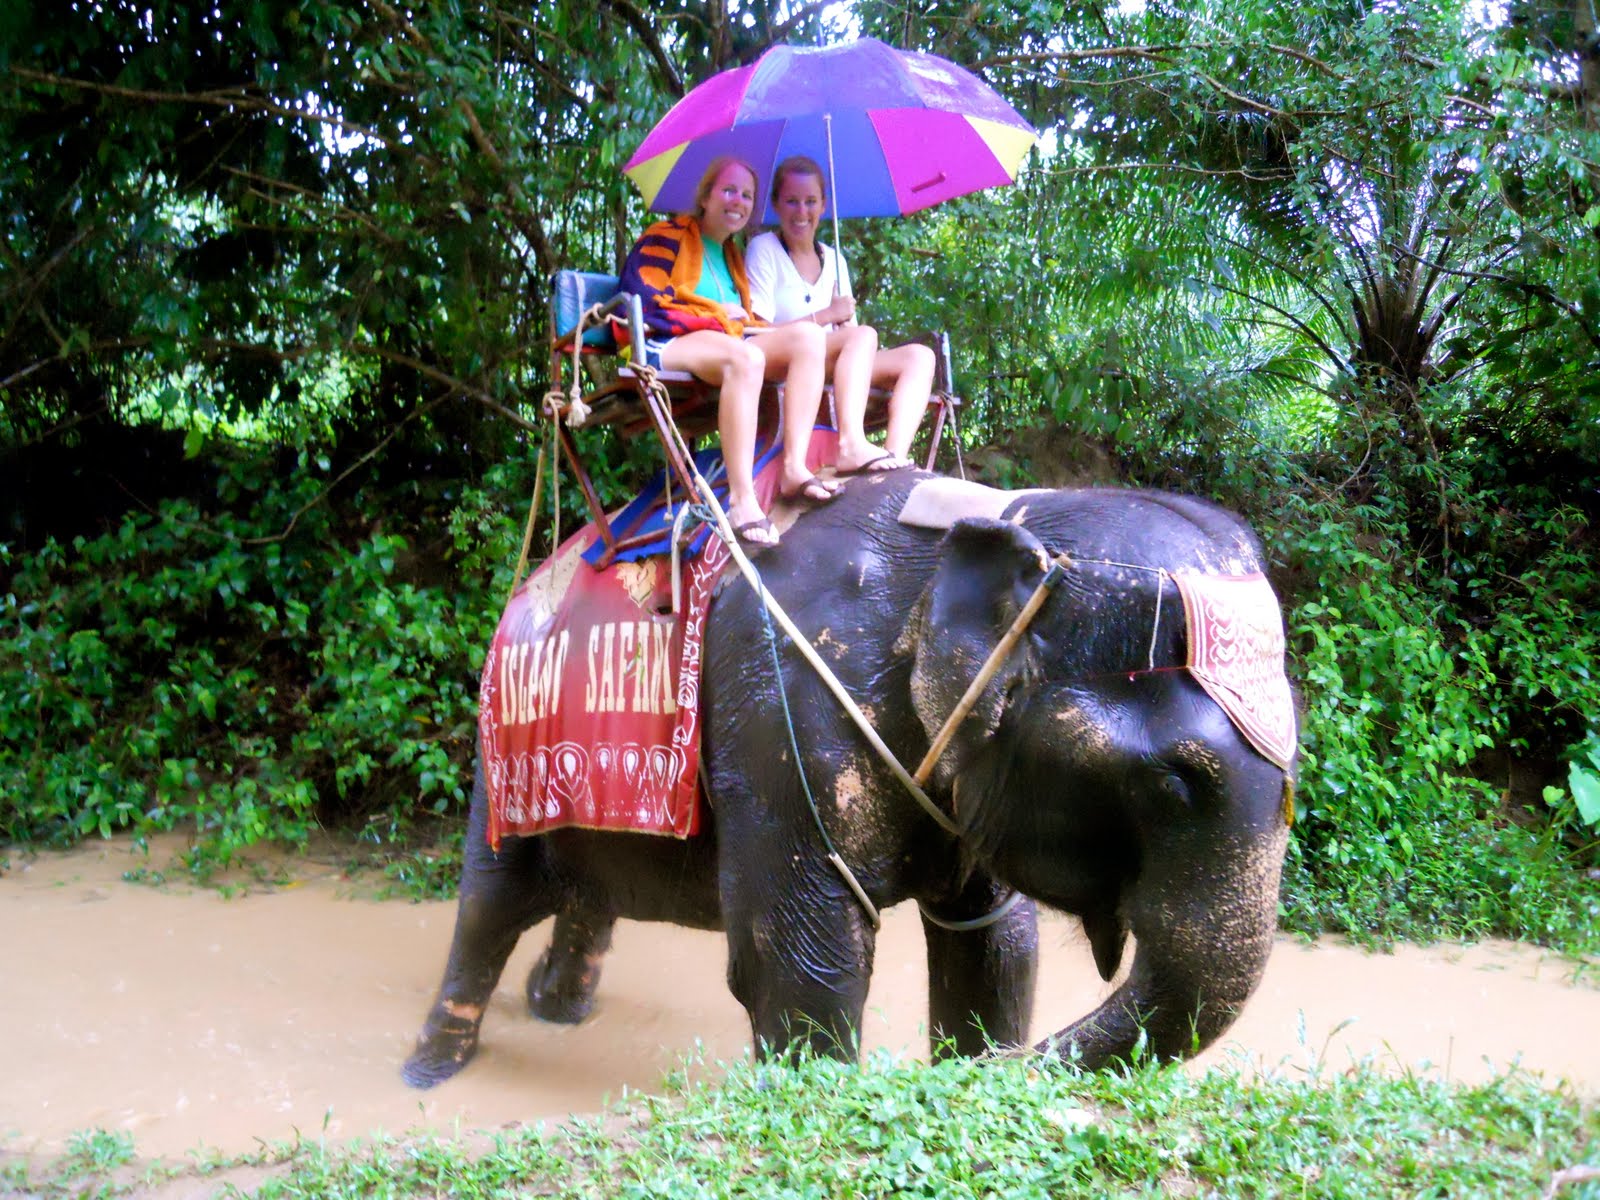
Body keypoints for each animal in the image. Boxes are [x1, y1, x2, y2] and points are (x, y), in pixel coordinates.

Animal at [402, 472, 1295, 1088]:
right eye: (1175, 784)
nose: (1012, 1073)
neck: (997, 515)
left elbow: (995, 945)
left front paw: (967, 1062)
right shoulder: (784, 719)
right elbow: (798, 963)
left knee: (591, 890)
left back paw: (558, 1007)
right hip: (502, 745)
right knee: (493, 896)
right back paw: (434, 1067)